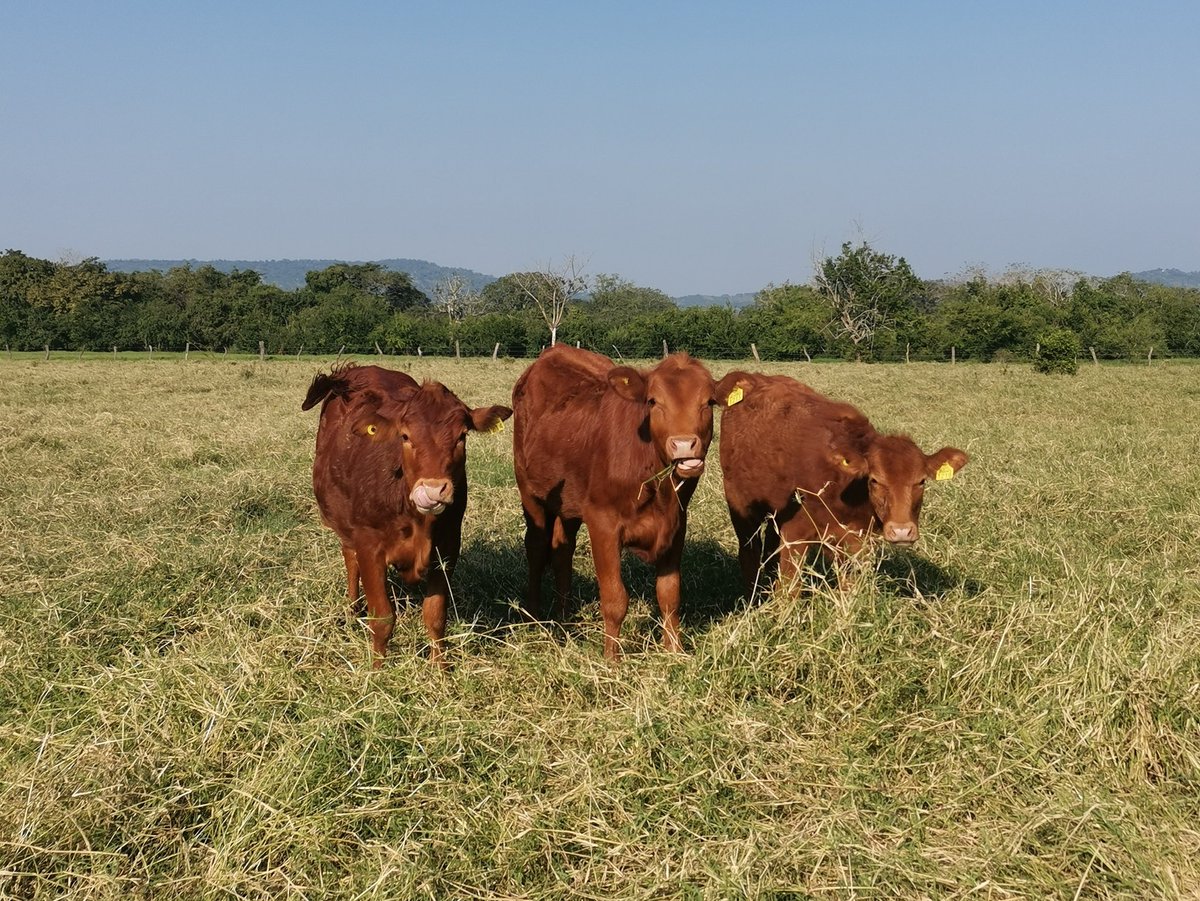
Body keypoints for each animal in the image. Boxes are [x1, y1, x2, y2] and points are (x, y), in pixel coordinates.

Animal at [302, 363, 511, 668]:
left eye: (462, 436)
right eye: (405, 436)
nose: (433, 490)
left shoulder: (447, 549)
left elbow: (435, 616)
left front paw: (441, 668)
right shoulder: (369, 547)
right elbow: (383, 618)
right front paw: (378, 670)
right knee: (350, 560)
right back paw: (352, 610)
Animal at [512, 345, 734, 659]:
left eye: (709, 402)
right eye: (653, 401)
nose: (683, 445)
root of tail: (553, 351)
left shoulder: (677, 524)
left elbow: (670, 594)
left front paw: (674, 652)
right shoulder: (602, 523)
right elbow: (615, 598)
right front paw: (612, 660)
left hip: (569, 504)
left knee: (562, 551)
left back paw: (564, 617)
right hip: (530, 492)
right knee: (536, 547)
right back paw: (533, 617)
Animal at [717, 371, 968, 596]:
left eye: (921, 481)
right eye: (875, 480)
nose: (901, 531)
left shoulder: (856, 544)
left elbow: (849, 591)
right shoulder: (794, 535)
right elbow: (789, 591)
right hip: (740, 504)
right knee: (749, 552)